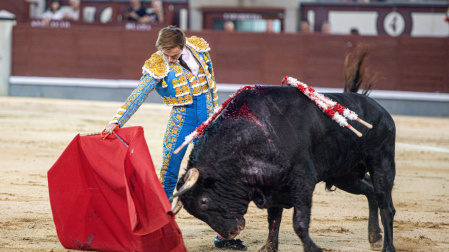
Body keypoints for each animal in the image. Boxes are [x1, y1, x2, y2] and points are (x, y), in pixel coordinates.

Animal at [172, 51, 396, 252]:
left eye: (203, 201)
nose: (231, 233)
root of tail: (379, 109)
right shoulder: (272, 186)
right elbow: (274, 220)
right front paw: (270, 247)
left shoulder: (303, 181)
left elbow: (299, 223)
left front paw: (313, 249)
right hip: (344, 175)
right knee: (370, 191)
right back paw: (375, 237)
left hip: (381, 159)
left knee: (386, 205)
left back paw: (387, 246)